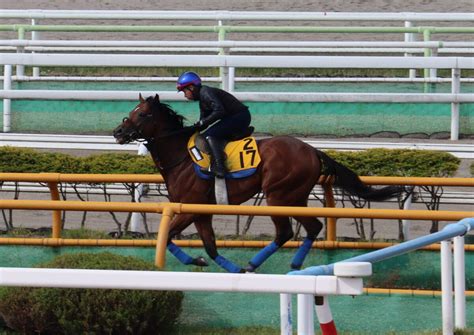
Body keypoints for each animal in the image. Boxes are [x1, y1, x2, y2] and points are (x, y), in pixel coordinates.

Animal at [113, 94, 402, 272]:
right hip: (295, 197)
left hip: (279, 196)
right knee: (313, 227)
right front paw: (215, 264)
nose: (118, 132)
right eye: (131, 111)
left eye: (143, 114)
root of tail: (311, 150)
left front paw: (200, 260)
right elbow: (209, 247)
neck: (182, 156)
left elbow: (168, 236)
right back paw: (292, 265)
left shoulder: (190, 207)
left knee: (286, 232)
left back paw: (255, 263)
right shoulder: (201, 211)